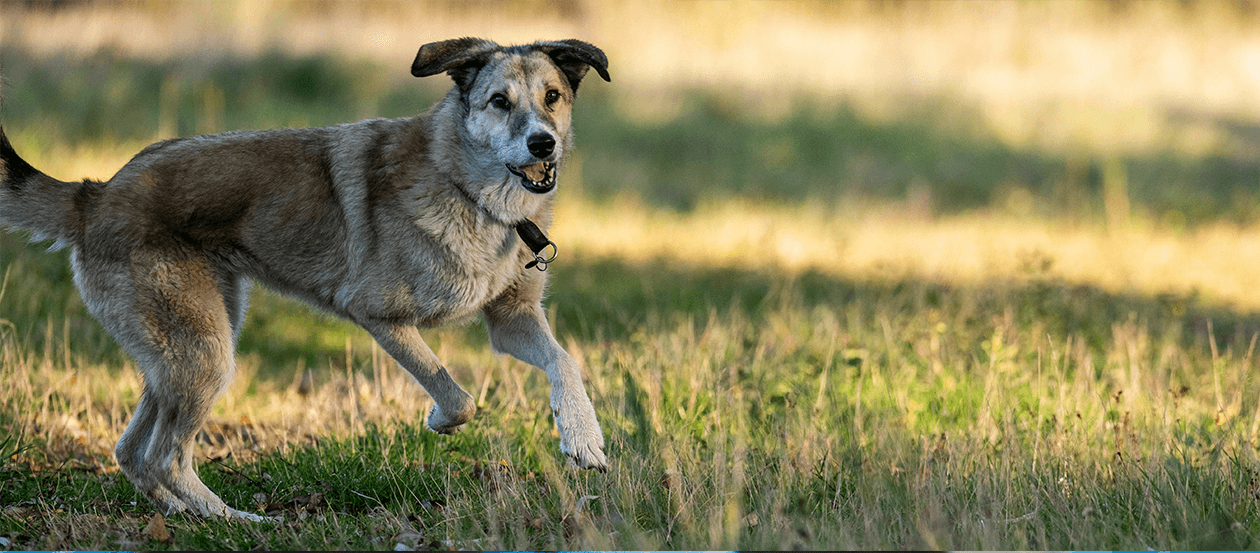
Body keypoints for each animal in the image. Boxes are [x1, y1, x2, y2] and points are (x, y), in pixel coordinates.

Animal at [0, 36, 609, 521]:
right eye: (499, 102)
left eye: (552, 97)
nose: (543, 143)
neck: (470, 190)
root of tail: (95, 195)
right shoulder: (378, 315)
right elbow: (457, 396)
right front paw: (439, 418)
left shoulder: (511, 319)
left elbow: (565, 362)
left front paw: (583, 438)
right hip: (204, 353)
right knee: (162, 456)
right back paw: (235, 521)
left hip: (187, 347)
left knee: (132, 452)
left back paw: (190, 516)